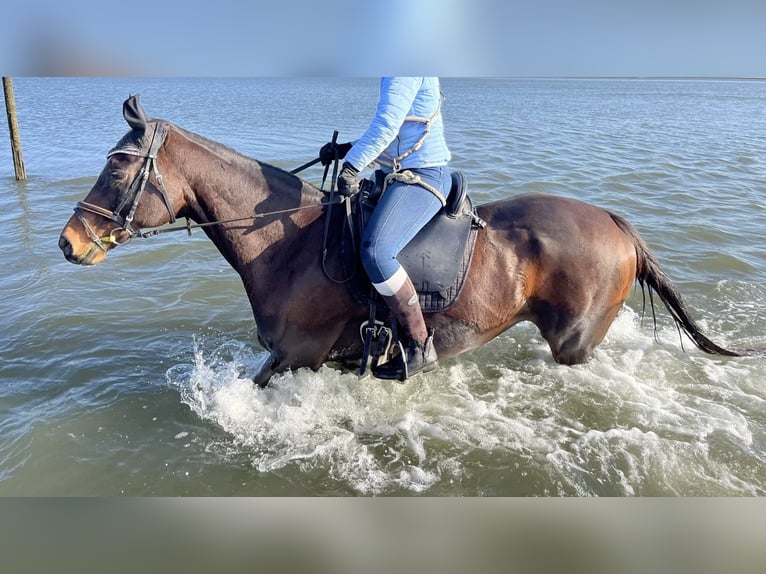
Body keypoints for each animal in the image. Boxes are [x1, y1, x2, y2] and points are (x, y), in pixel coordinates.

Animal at [58, 97, 752, 390]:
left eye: (117, 167)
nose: (68, 243)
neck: (287, 243)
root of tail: (614, 222)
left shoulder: (296, 356)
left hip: (574, 346)